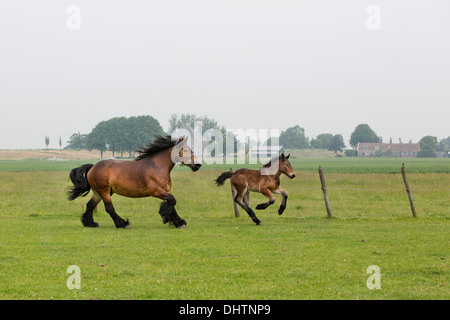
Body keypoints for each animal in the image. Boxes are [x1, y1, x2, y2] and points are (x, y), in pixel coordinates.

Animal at [66, 136, 201, 229]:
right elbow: (172, 201)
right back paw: (123, 224)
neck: (158, 167)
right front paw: (166, 217)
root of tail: (93, 167)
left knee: (90, 205)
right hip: (104, 191)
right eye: (186, 150)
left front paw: (178, 222)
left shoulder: (166, 190)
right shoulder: (156, 191)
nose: (198, 165)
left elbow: (171, 203)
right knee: (109, 208)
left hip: (99, 192)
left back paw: (90, 223)